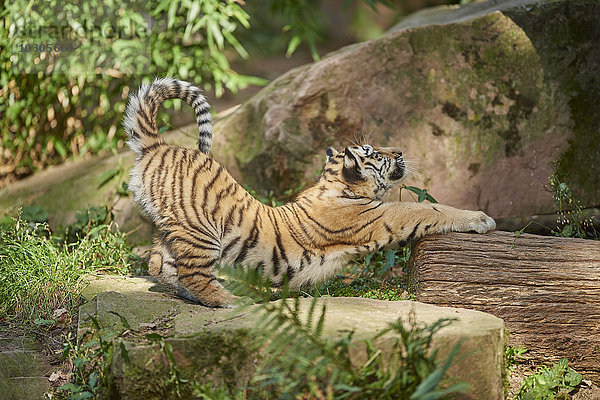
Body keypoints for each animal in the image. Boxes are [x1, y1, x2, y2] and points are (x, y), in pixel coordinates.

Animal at [123, 78, 496, 308]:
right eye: (375, 153)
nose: (400, 150)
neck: (335, 185)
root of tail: (158, 145)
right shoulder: (382, 216)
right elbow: (428, 209)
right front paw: (481, 219)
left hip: (172, 228)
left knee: (158, 263)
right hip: (201, 230)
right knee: (193, 273)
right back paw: (230, 300)